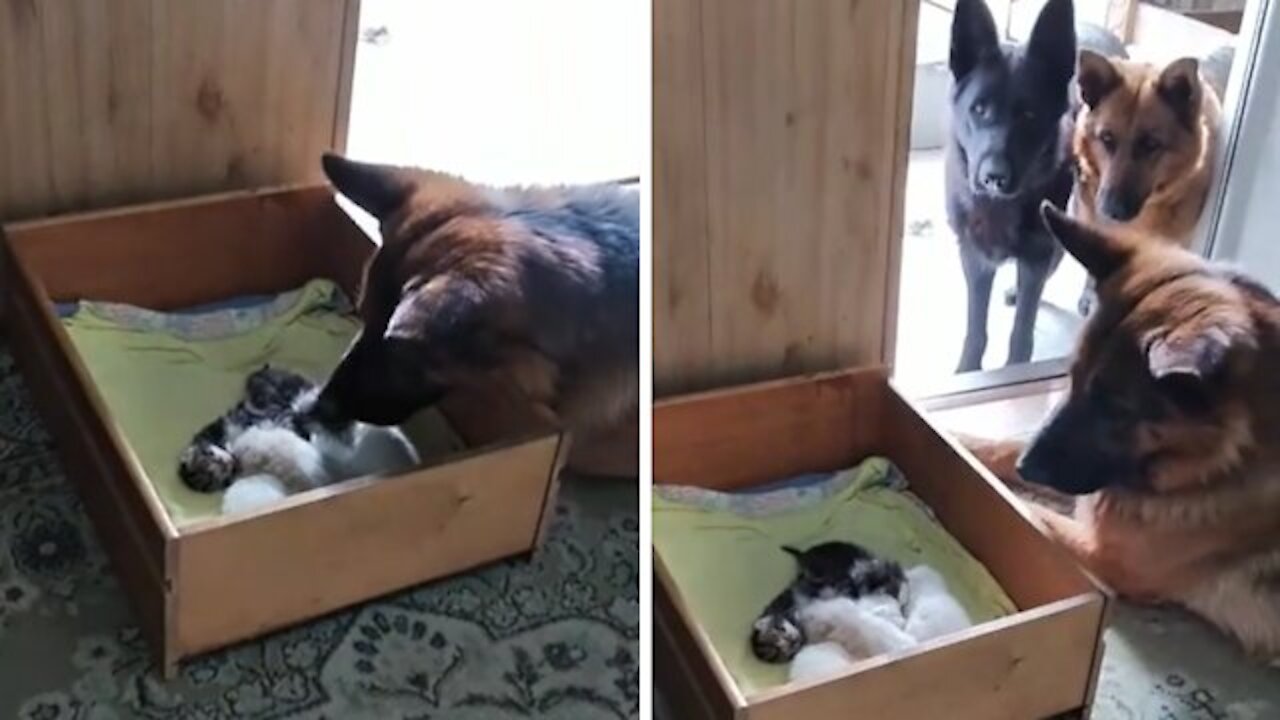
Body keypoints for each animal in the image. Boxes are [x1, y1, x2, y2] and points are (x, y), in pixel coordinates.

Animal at [947, 0, 1075, 368]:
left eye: (1029, 115)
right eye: (978, 109)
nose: (994, 177)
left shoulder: (1036, 255)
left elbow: (1022, 331)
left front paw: (1015, 367)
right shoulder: (974, 257)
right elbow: (976, 328)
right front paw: (968, 370)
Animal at [962, 203, 1280, 661]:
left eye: (1115, 408)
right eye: (1071, 377)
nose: (1026, 470)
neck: (1223, 458)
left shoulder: (1105, 554)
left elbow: (1028, 512)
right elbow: (1003, 448)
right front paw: (959, 440)